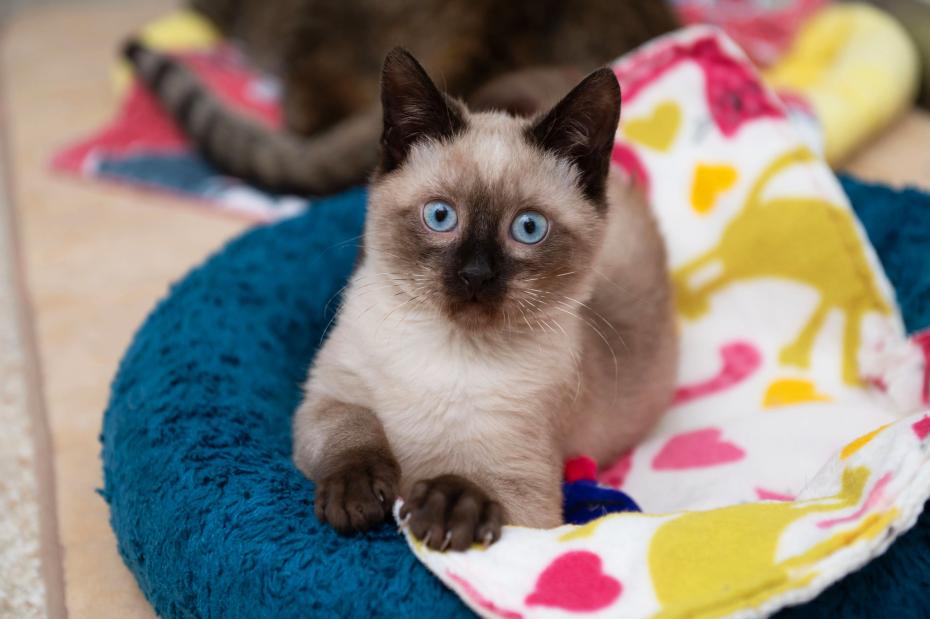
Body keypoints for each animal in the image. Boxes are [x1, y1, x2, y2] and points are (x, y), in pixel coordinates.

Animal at [292, 49, 676, 552]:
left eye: (528, 228)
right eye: (440, 216)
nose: (475, 274)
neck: (448, 351)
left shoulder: (527, 495)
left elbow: (478, 485)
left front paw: (449, 506)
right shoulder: (327, 399)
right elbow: (354, 434)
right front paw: (358, 497)